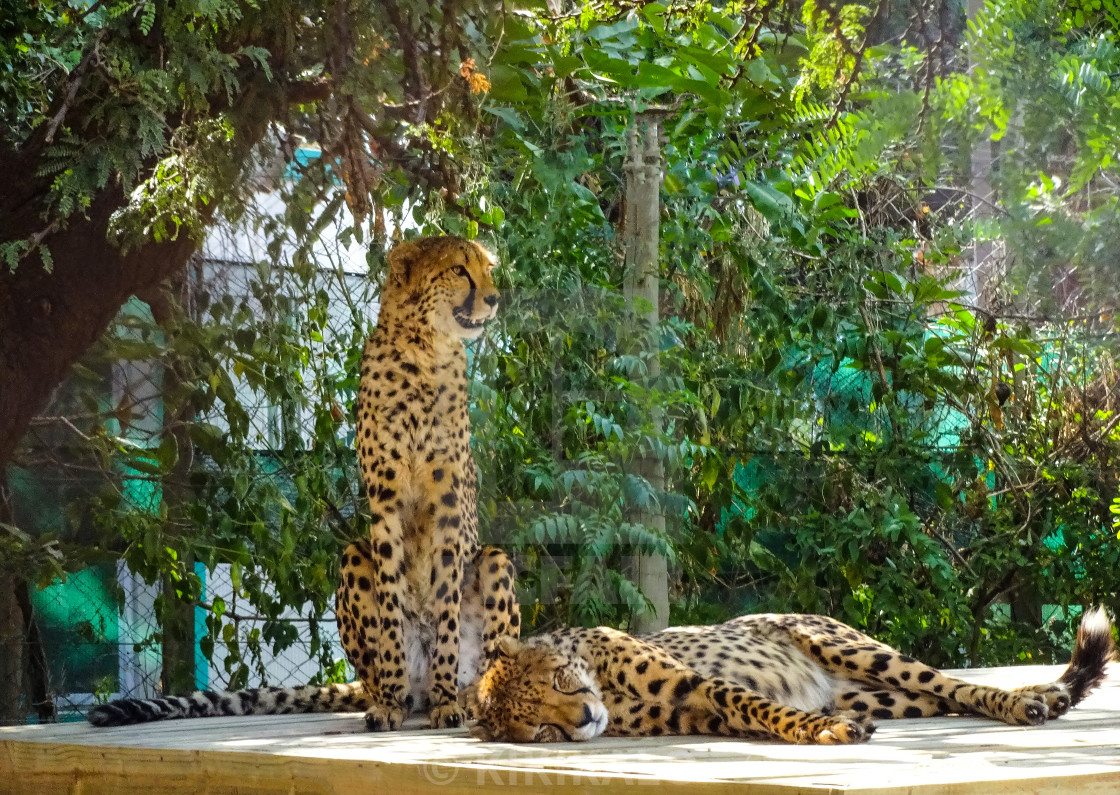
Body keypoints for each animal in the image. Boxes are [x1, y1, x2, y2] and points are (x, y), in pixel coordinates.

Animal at [90, 238, 519, 734]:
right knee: (380, 647)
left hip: (494, 560)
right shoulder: (386, 502)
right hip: (353, 557)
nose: (494, 298)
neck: (424, 350)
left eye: (487, 269)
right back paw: (398, 692)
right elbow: (391, 604)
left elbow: (446, 610)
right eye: (459, 270)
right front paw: (390, 703)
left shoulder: (448, 507)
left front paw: (448, 698)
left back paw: (465, 694)